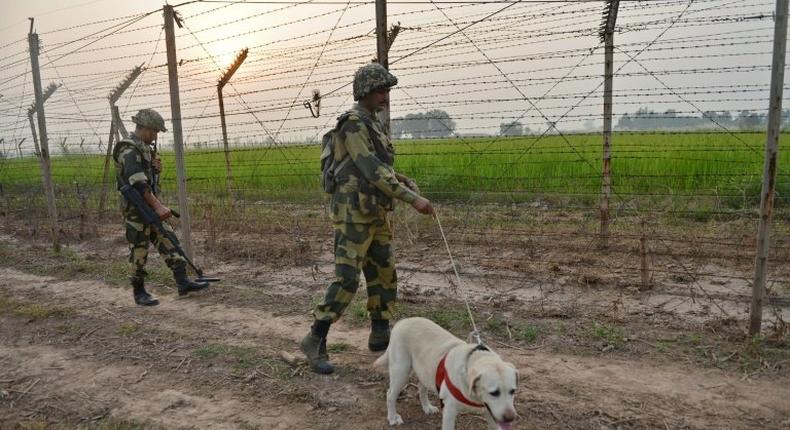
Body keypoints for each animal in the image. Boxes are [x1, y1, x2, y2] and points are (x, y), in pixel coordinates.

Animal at [376, 316, 520, 430]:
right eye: (494, 393)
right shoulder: (449, 412)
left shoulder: (492, 415)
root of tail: (403, 320)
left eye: (513, 391)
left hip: (425, 371)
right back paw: (392, 417)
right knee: (390, 395)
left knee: (421, 388)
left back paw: (427, 407)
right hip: (401, 372)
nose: (510, 418)